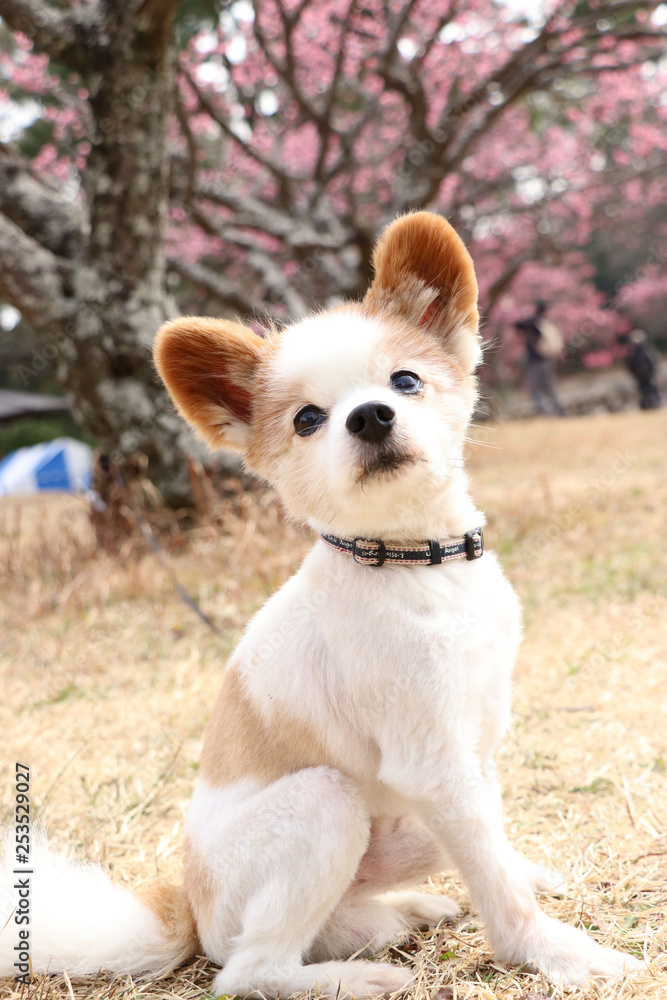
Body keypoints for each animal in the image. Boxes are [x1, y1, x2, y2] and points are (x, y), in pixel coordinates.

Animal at [1, 209, 648, 992]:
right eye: (308, 419)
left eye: (405, 381)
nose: (368, 416)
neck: (410, 562)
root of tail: (190, 908)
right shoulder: (433, 765)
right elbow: (501, 890)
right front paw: (562, 954)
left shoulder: (476, 742)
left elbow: (496, 850)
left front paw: (529, 882)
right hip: (326, 803)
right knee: (247, 970)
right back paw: (355, 978)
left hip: (399, 832)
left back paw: (401, 914)